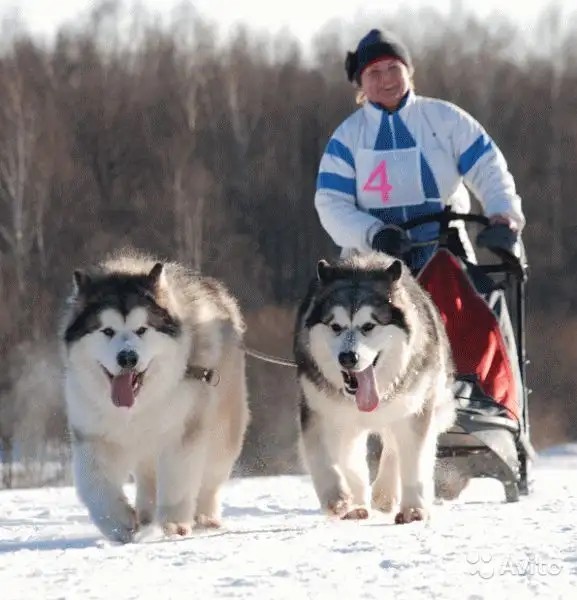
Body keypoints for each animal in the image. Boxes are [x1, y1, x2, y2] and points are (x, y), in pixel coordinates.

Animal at [60, 251, 250, 540]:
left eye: (142, 329)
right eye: (107, 331)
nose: (127, 357)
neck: (136, 408)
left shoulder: (182, 431)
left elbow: (177, 479)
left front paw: (172, 525)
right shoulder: (93, 434)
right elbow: (94, 484)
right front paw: (118, 522)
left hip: (222, 427)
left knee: (210, 478)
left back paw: (204, 518)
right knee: (147, 478)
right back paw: (147, 516)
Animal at [294, 253, 456, 524]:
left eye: (368, 326)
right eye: (335, 326)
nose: (347, 357)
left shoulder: (415, 409)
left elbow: (413, 458)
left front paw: (414, 508)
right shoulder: (321, 410)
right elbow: (324, 456)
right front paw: (337, 497)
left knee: (392, 448)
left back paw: (385, 493)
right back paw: (358, 503)